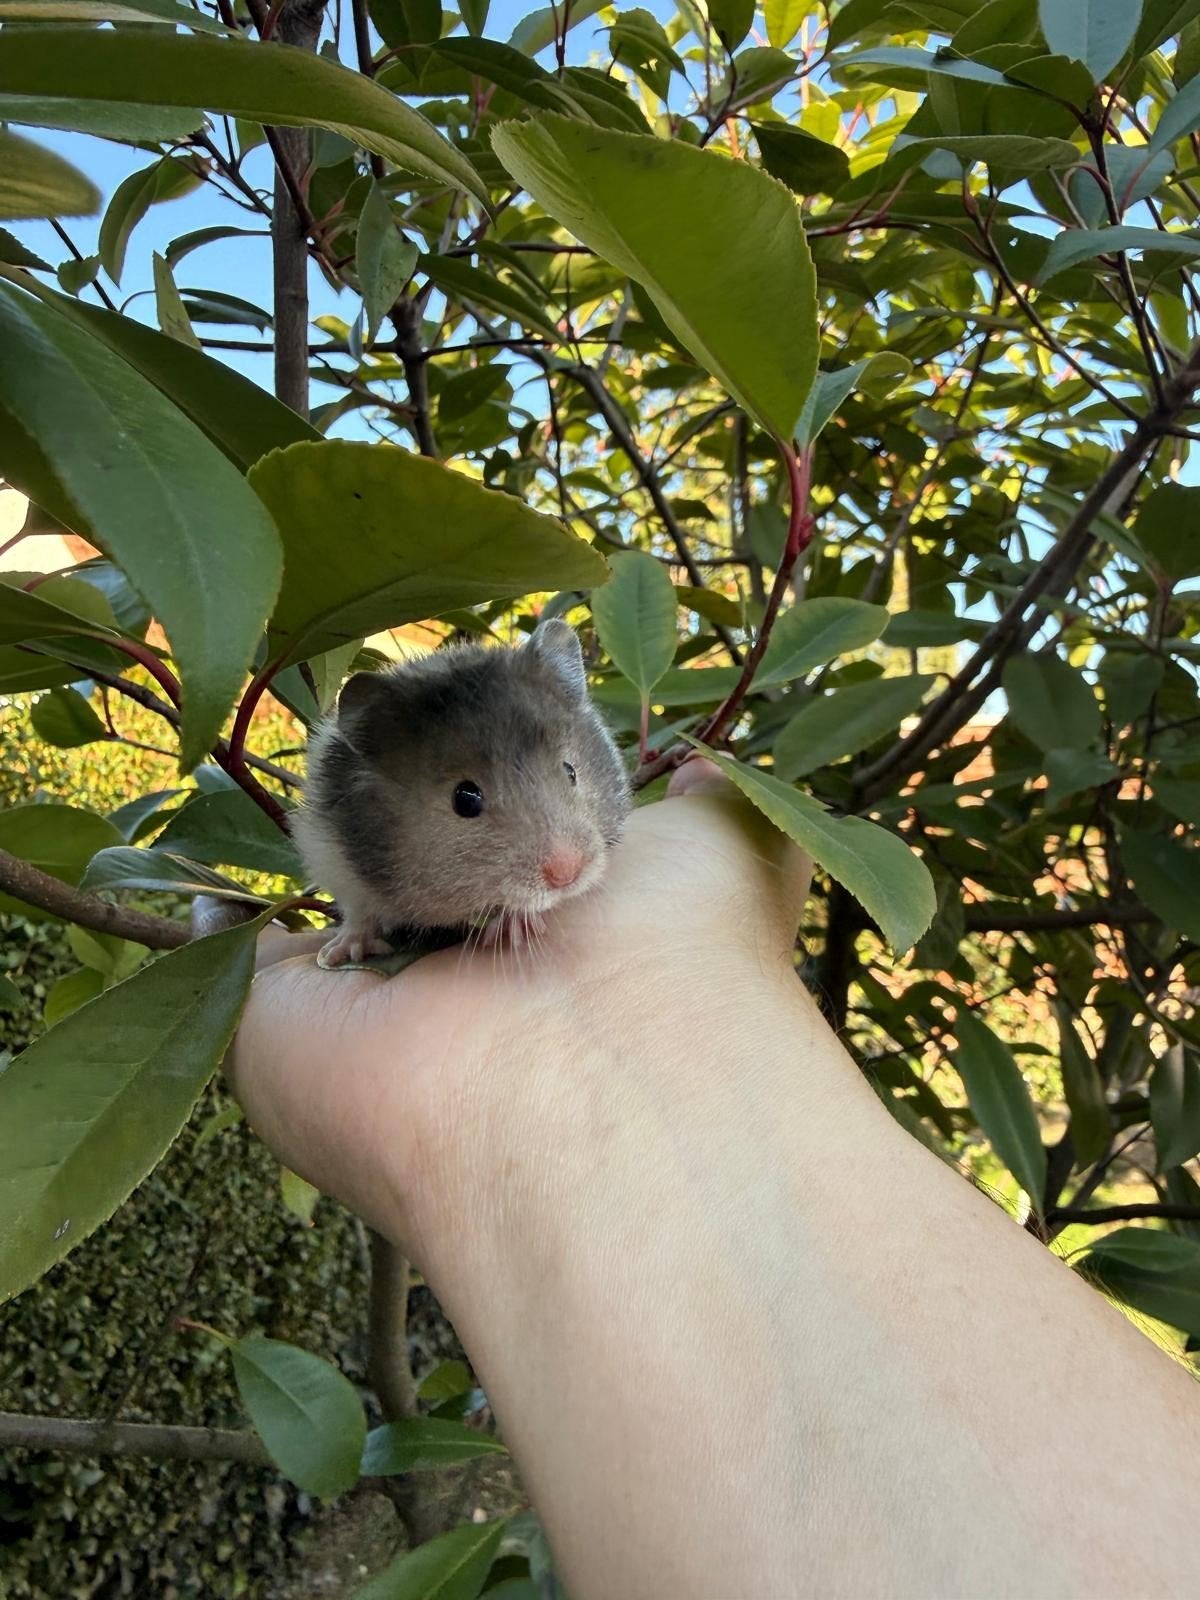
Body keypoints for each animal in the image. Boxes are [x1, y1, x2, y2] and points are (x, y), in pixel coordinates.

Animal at [291, 619, 632, 967]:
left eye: (570, 770)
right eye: (465, 798)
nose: (568, 874)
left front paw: (513, 929)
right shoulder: (333, 856)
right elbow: (358, 911)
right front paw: (340, 952)